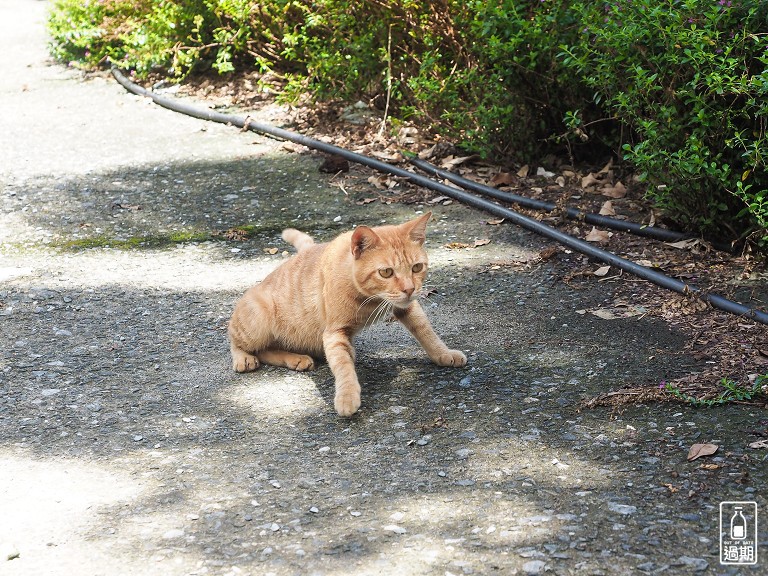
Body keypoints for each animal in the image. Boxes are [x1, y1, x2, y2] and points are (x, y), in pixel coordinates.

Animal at [226, 210, 468, 414]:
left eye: (417, 268)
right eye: (386, 272)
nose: (409, 289)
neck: (370, 300)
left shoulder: (406, 306)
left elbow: (426, 331)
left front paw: (443, 353)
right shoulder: (335, 333)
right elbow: (343, 367)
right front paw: (347, 396)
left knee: (266, 349)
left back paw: (296, 359)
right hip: (258, 319)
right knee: (239, 341)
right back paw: (246, 358)